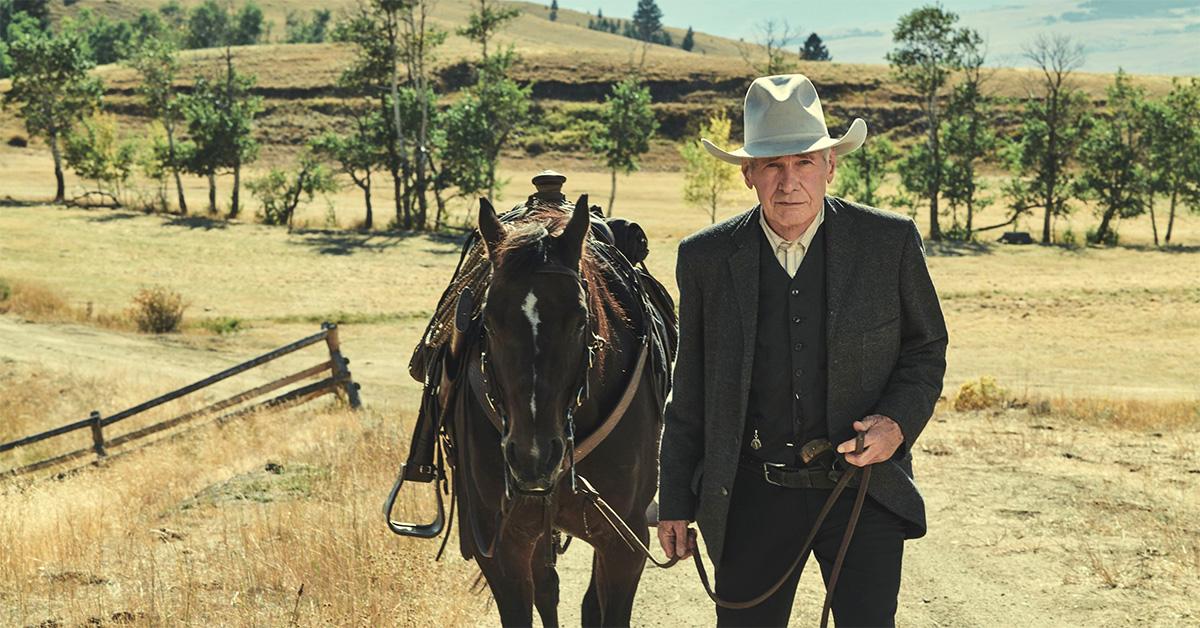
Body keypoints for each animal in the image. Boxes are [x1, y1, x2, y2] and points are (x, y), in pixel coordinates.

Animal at [451, 194, 672, 624]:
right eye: (489, 320)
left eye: (579, 319)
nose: (533, 457)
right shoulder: (502, 547)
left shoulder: (626, 541)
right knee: (547, 589)